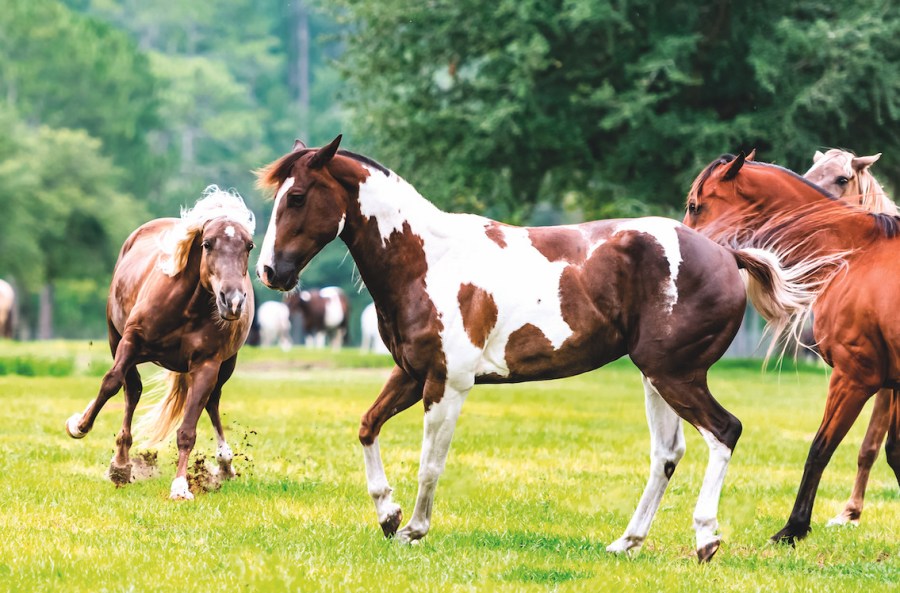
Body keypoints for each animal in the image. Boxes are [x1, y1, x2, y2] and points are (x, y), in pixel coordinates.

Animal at [65, 186, 255, 500]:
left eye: (249, 246)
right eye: (207, 244)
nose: (234, 301)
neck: (187, 307)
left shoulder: (207, 364)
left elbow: (188, 429)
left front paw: (180, 486)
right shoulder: (130, 342)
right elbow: (111, 383)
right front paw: (79, 425)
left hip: (226, 365)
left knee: (212, 402)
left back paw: (225, 464)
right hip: (116, 339)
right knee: (132, 391)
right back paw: (121, 464)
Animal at [253, 134, 828, 560]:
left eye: (297, 197)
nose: (270, 271)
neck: (428, 260)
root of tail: (726, 255)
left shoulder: (448, 384)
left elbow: (429, 464)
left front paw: (414, 528)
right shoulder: (411, 375)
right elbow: (368, 428)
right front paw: (388, 515)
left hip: (675, 376)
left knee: (723, 432)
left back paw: (706, 537)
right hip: (658, 378)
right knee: (668, 453)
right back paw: (627, 542)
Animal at [684, 154, 900, 544]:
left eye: (695, 205)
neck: (860, 254)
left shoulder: (854, 378)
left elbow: (820, 449)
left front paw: (793, 528)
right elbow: (894, 453)